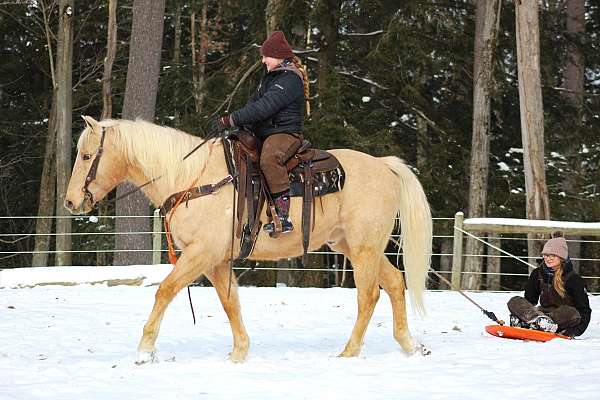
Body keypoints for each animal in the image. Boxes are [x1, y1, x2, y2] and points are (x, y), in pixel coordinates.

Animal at [64, 115, 432, 362]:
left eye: (86, 156)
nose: (70, 202)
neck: (192, 179)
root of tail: (384, 166)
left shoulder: (200, 254)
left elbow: (165, 291)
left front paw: (144, 350)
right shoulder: (215, 261)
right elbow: (230, 303)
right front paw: (239, 352)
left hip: (363, 248)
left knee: (369, 295)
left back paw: (350, 351)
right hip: (354, 247)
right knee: (395, 283)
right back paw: (410, 344)